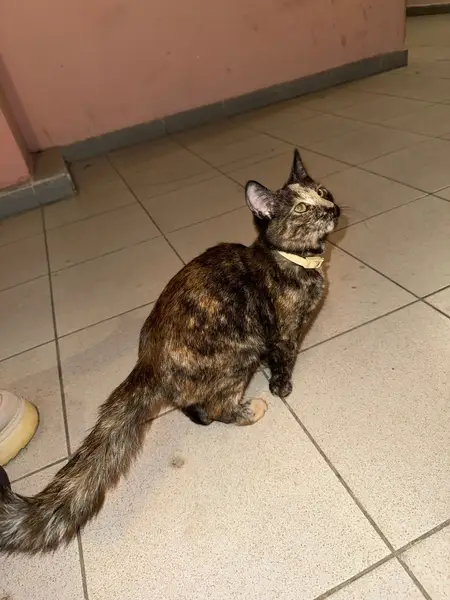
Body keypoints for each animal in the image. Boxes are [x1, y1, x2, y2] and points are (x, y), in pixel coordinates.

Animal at [0, 149, 339, 553]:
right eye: (302, 207)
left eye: (322, 191)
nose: (333, 208)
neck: (291, 259)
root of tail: (148, 361)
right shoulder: (282, 333)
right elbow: (284, 358)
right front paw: (281, 386)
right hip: (243, 351)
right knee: (218, 407)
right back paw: (249, 410)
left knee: (196, 408)